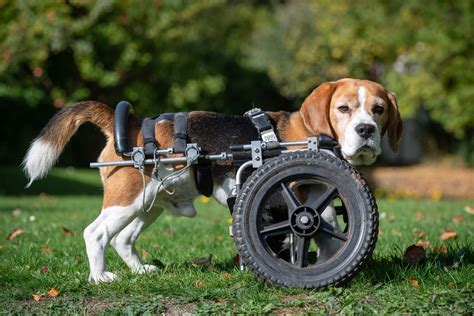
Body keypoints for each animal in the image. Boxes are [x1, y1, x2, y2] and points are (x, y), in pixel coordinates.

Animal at [24, 78, 402, 282]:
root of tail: (128, 124)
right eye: (343, 109)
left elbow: (328, 233)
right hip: (125, 200)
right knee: (96, 233)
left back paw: (140, 270)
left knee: (123, 239)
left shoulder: (320, 197)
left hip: (148, 205)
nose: (366, 130)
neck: (310, 135)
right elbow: (308, 231)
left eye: (379, 109)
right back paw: (100, 277)